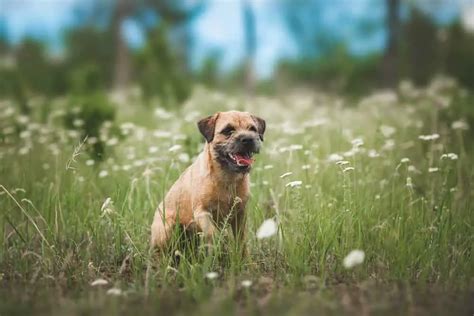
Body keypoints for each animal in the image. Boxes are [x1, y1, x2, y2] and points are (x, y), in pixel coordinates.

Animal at [150, 111, 264, 252]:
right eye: (228, 130)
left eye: (253, 129)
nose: (248, 139)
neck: (227, 177)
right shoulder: (202, 212)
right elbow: (212, 232)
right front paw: (220, 244)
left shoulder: (241, 214)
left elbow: (241, 241)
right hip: (167, 228)